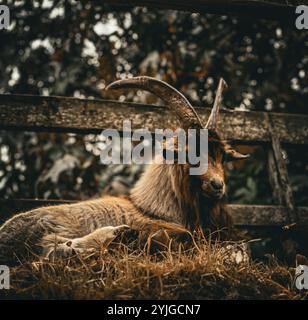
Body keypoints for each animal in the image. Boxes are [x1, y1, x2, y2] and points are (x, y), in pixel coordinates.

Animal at [0, 75, 248, 264]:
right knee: (50, 252)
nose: (217, 185)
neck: (151, 208)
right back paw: (112, 236)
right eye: (189, 154)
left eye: (223, 156)